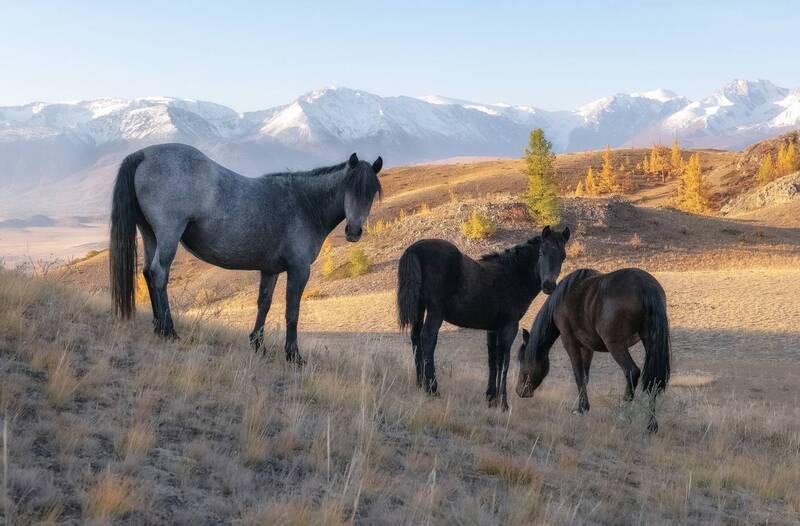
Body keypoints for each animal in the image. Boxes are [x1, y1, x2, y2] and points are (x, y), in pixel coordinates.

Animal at [109, 143, 383, 365]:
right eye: (350, 189)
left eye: (370, 193)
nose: (354, 231)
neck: (304, 204)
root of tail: (144, 154)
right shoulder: (299, 270)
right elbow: (292, 311)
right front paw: (293, 356)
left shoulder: (270, 270)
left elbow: (264, 304)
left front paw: (258, 345)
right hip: (168, 234)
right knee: (159, 273)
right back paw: (169, 331)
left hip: (150, 234)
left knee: (147, 272)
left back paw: (158, 328)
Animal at [396, 226, 570, 410]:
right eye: (542, 252)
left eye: (563, 256)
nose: (549, 286)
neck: (513, 275)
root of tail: (414, 248)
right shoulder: (509, 326)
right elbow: (504, 361)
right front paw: (503, 403)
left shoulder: (492, 329)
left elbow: (492, 359)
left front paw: (491, 398)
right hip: (435, 311)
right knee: (428, 339)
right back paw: (432, 389)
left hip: (419, 308)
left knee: (415, 339)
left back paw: (420, 384)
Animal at [515, 268, 671, 432]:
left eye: (522, 360)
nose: (519, 391)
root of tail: (646, 285)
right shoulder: (587, 348)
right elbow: (585, 377)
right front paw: (583, 407)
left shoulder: (570, 343)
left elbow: (578, 375)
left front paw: (581, 409)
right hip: (650, 341)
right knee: (653, 381)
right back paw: (651, 425)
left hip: (616, 345)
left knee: (632, 372)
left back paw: (623, 415)